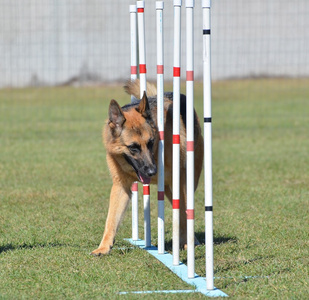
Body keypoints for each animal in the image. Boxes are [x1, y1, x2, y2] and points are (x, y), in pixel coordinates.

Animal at [91, 79, 202, 255]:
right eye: (133, 148)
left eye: (150, 143)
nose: (152, 171)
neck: (156, 153)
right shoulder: (121, 187)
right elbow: (111, 220)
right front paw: (103, 247)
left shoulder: (179, 182)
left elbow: (184, 215)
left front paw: (186, 243)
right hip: (168, 189)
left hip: (188, 181)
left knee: (185, 211)